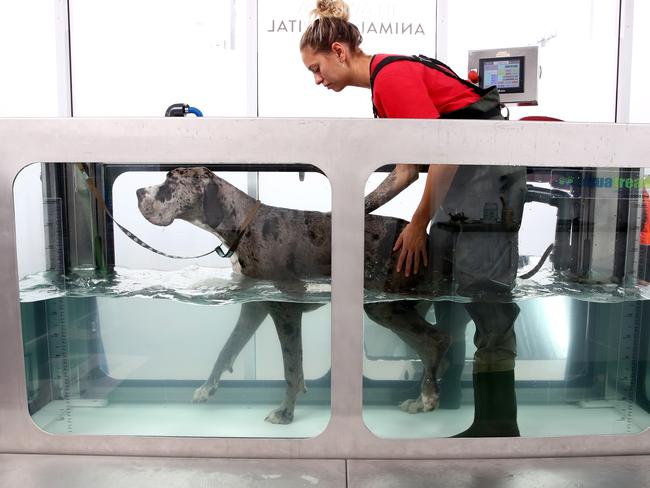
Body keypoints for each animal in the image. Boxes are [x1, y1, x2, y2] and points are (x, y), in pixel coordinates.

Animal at [135, 167, 450, 424]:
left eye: (170, 181)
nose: (138, 192)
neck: (245, 225)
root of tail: (427, 240)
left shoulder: (285, 307)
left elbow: (292, 367)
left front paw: (286, 412)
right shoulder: (255, 306)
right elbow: (229, 347)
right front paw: (207, 387)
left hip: (385, 308)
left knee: (437, 339)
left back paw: (429, 397)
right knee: (426, 348)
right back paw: (421, 399)